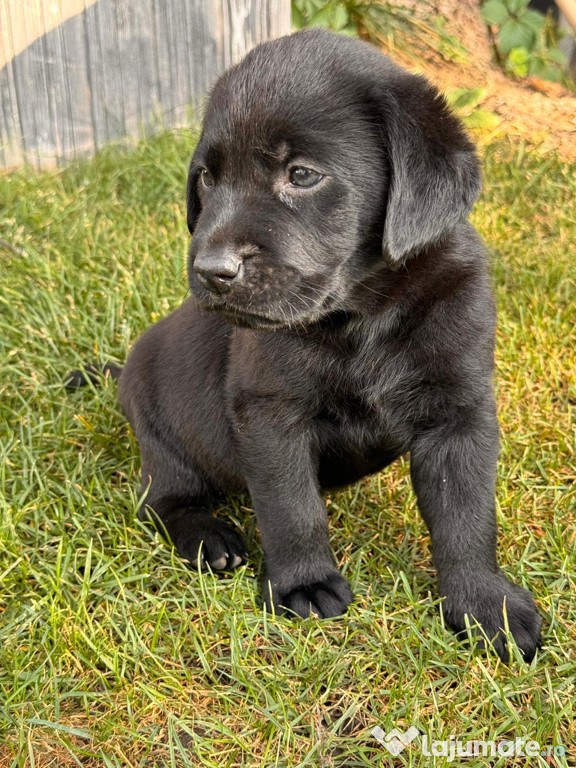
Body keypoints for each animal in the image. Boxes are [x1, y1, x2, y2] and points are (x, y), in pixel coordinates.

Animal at [116, 28, 540, 660]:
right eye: (208, 178)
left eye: (301, 175)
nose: (212, 271)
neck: (363, 315)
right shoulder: (269, 413)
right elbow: (292, 507)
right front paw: (306, 583)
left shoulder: (460, 413)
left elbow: (466, 515)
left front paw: (486, 603)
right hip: (162, 436)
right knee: (165, 501)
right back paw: (210, 538)